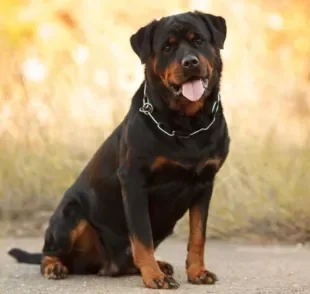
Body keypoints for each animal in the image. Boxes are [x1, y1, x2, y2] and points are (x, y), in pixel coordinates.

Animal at [7, 10, 230, 290]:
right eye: (167, 47)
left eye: (198, 40)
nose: (189, 62)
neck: (187, 124)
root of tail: (103, 265)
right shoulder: (134, 182)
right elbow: (142, 237)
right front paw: (154, 277)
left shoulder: (205, 184)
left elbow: (197, 236)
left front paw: (197, 272)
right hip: (71, 214)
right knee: (49, 252)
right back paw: (55, 266)